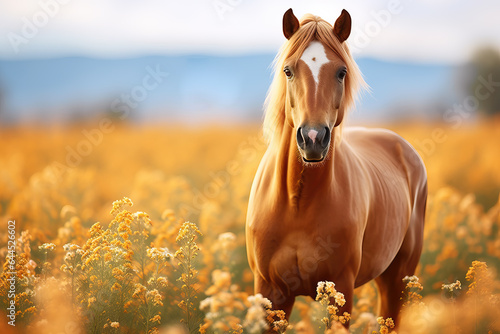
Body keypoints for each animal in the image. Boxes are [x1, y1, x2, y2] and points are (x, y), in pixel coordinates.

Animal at [245, 7, 426, 326]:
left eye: (341, 72)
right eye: (288, 70)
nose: (313, 138)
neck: (297, 203)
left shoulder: (340, 290)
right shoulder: (270, 293)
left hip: (399, 277)